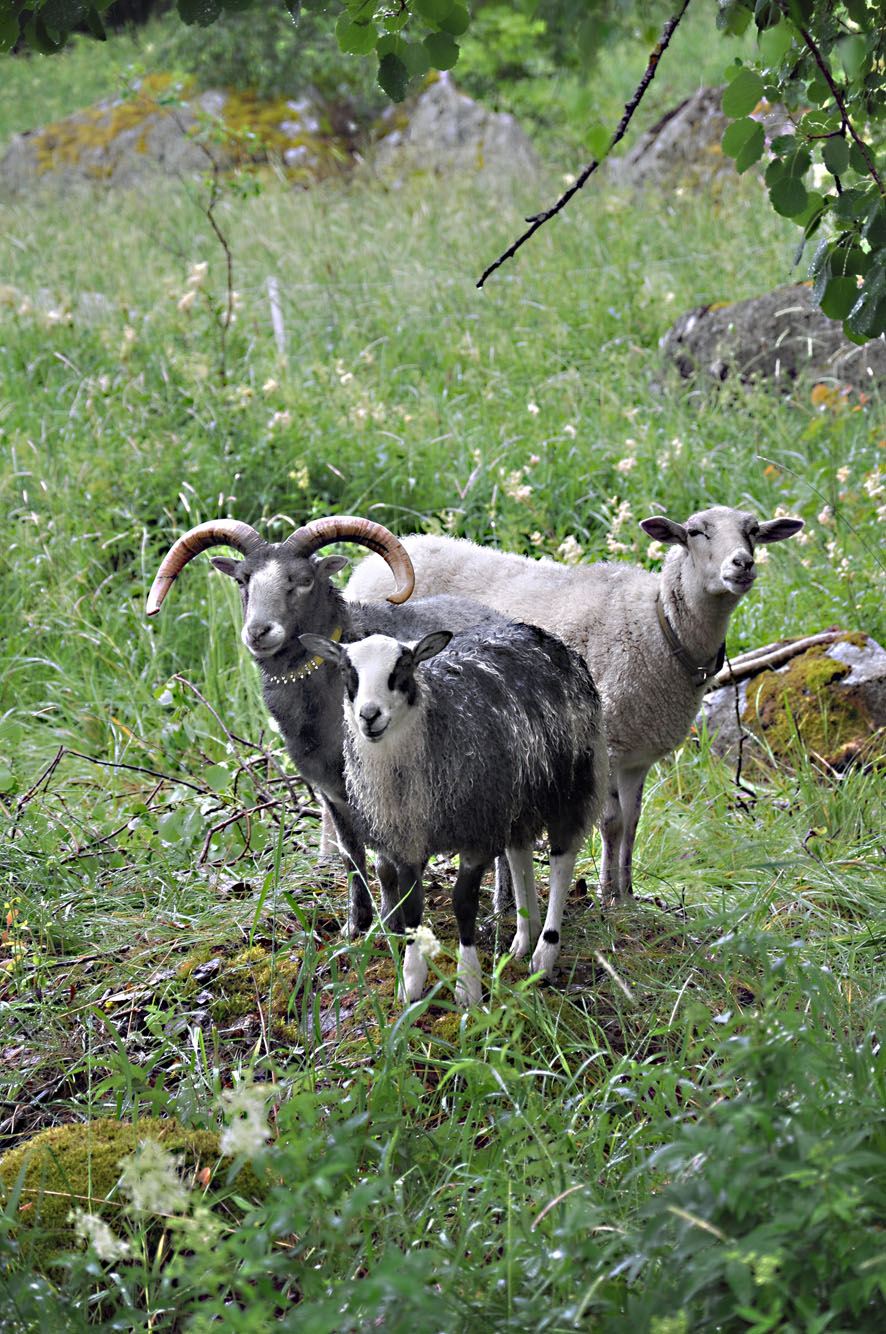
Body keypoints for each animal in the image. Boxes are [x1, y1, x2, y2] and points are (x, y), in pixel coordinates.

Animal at [145, 514, 513, 938]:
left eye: (304, 579)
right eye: (242, 580)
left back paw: (502, 910)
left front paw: (390, 923)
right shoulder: (330, 790)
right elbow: (351, 857)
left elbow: (385, 862)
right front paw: (356, 925)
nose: (259, 632)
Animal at [299, 619, 607, 1005]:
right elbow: (412, 906)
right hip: (514, 798)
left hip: (572, 782)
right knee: (518, 852)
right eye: (347, 671)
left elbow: (463, 903)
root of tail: (536, 631)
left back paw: (544, 953)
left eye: (403, 667)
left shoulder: (476, 833)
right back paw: (524, 936)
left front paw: (468, 985)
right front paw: (411, 983)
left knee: (562, 860)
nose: (369, 716)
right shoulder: (407, 839)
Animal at [344, 505, 804, 903]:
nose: (742, 564)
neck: (660, 625)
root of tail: (372, 562)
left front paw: (627, 893)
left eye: (753, 531)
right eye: (694, 532)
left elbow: (632, 824)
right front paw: (607, 895)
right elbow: (611, 822)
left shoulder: (639, 754)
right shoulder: (608, 741)